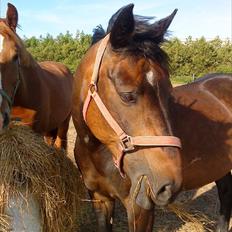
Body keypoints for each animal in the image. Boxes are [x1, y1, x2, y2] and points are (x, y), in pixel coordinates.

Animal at [72, 4, 183, 232]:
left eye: (169, 95)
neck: (97, 153)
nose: (170, 185)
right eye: (127, 95)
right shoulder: (100, 198)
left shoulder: (140, 208)